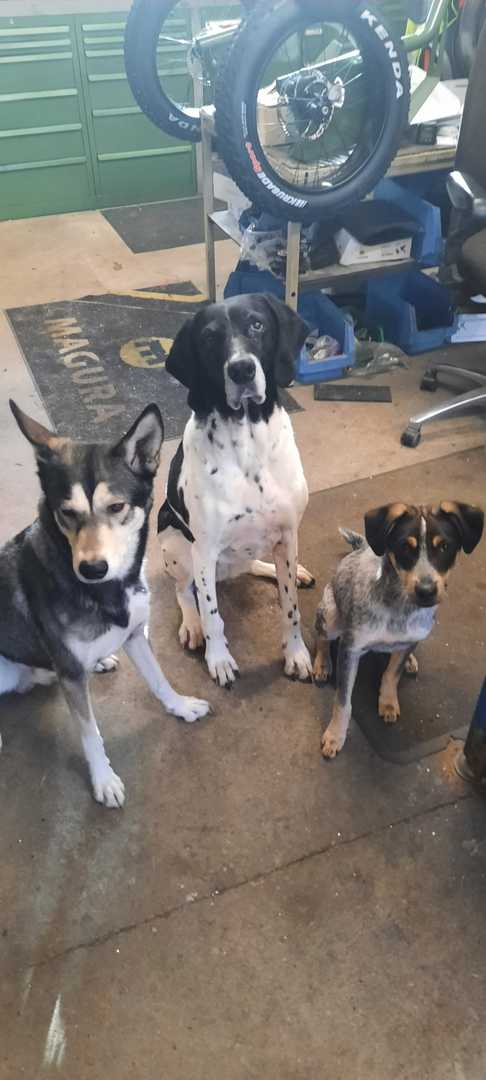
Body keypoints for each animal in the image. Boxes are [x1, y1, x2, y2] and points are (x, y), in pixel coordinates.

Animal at [0, 401, 210, 807]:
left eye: (116, 507)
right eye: (67, 512)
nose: (92, 568)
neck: (109, 591)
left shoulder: (135, 635)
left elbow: (159, 680)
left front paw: (180, 706)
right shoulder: (73, 676)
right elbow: (89, 733)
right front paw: (104, 779)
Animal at [157, 293, 315, 687]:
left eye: (257, 324)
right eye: (209, 338)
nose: (242, 370)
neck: (248, 442)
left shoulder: (287, 534)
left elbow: (290, 608)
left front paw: (296, 653)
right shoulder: (203, 549)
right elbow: (213, 614)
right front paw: (219, 660)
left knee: (256, 564)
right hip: (174, 544)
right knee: (185, 592)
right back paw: (192, 625)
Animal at [313, 500, 484, 758]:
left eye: (444, 547)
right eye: (405, 547)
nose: (426, 591)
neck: (400, 608)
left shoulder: (410, 639)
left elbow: (392, 673)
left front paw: (388, 701)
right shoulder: (350, 649)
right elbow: (343, 700)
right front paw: (335, 735)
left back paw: (410, 661)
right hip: (331, 617)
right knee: (322, 638)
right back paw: (322, 664)